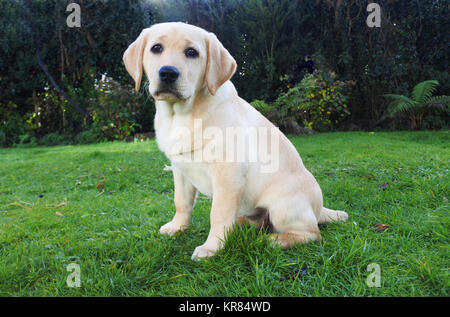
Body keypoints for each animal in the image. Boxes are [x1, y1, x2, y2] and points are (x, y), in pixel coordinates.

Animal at [123, 22, 348, 260]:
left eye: (191, 52)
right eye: (156, 48)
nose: (167, 73)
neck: (182, 114)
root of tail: (319, 209)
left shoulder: (228, 173)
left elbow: (218, 214)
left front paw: (212, 248)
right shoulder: (180, 169)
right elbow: (181, 202)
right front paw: (177, 227)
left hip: (283, 207)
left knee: (312, 233)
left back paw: (274, 240)